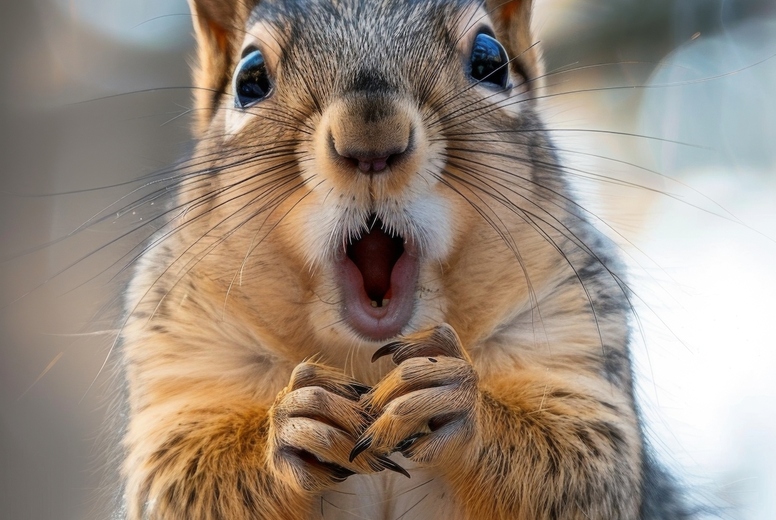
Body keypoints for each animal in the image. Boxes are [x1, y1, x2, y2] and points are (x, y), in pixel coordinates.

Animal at [118, 0, 694, 518]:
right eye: (250, 77)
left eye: (490, 61)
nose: (370, 139)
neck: (359, 357)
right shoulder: (186, 365)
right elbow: (178, 476)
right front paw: (290, 424)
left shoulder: (571, 332)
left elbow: (586, 461)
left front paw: (455, 397)